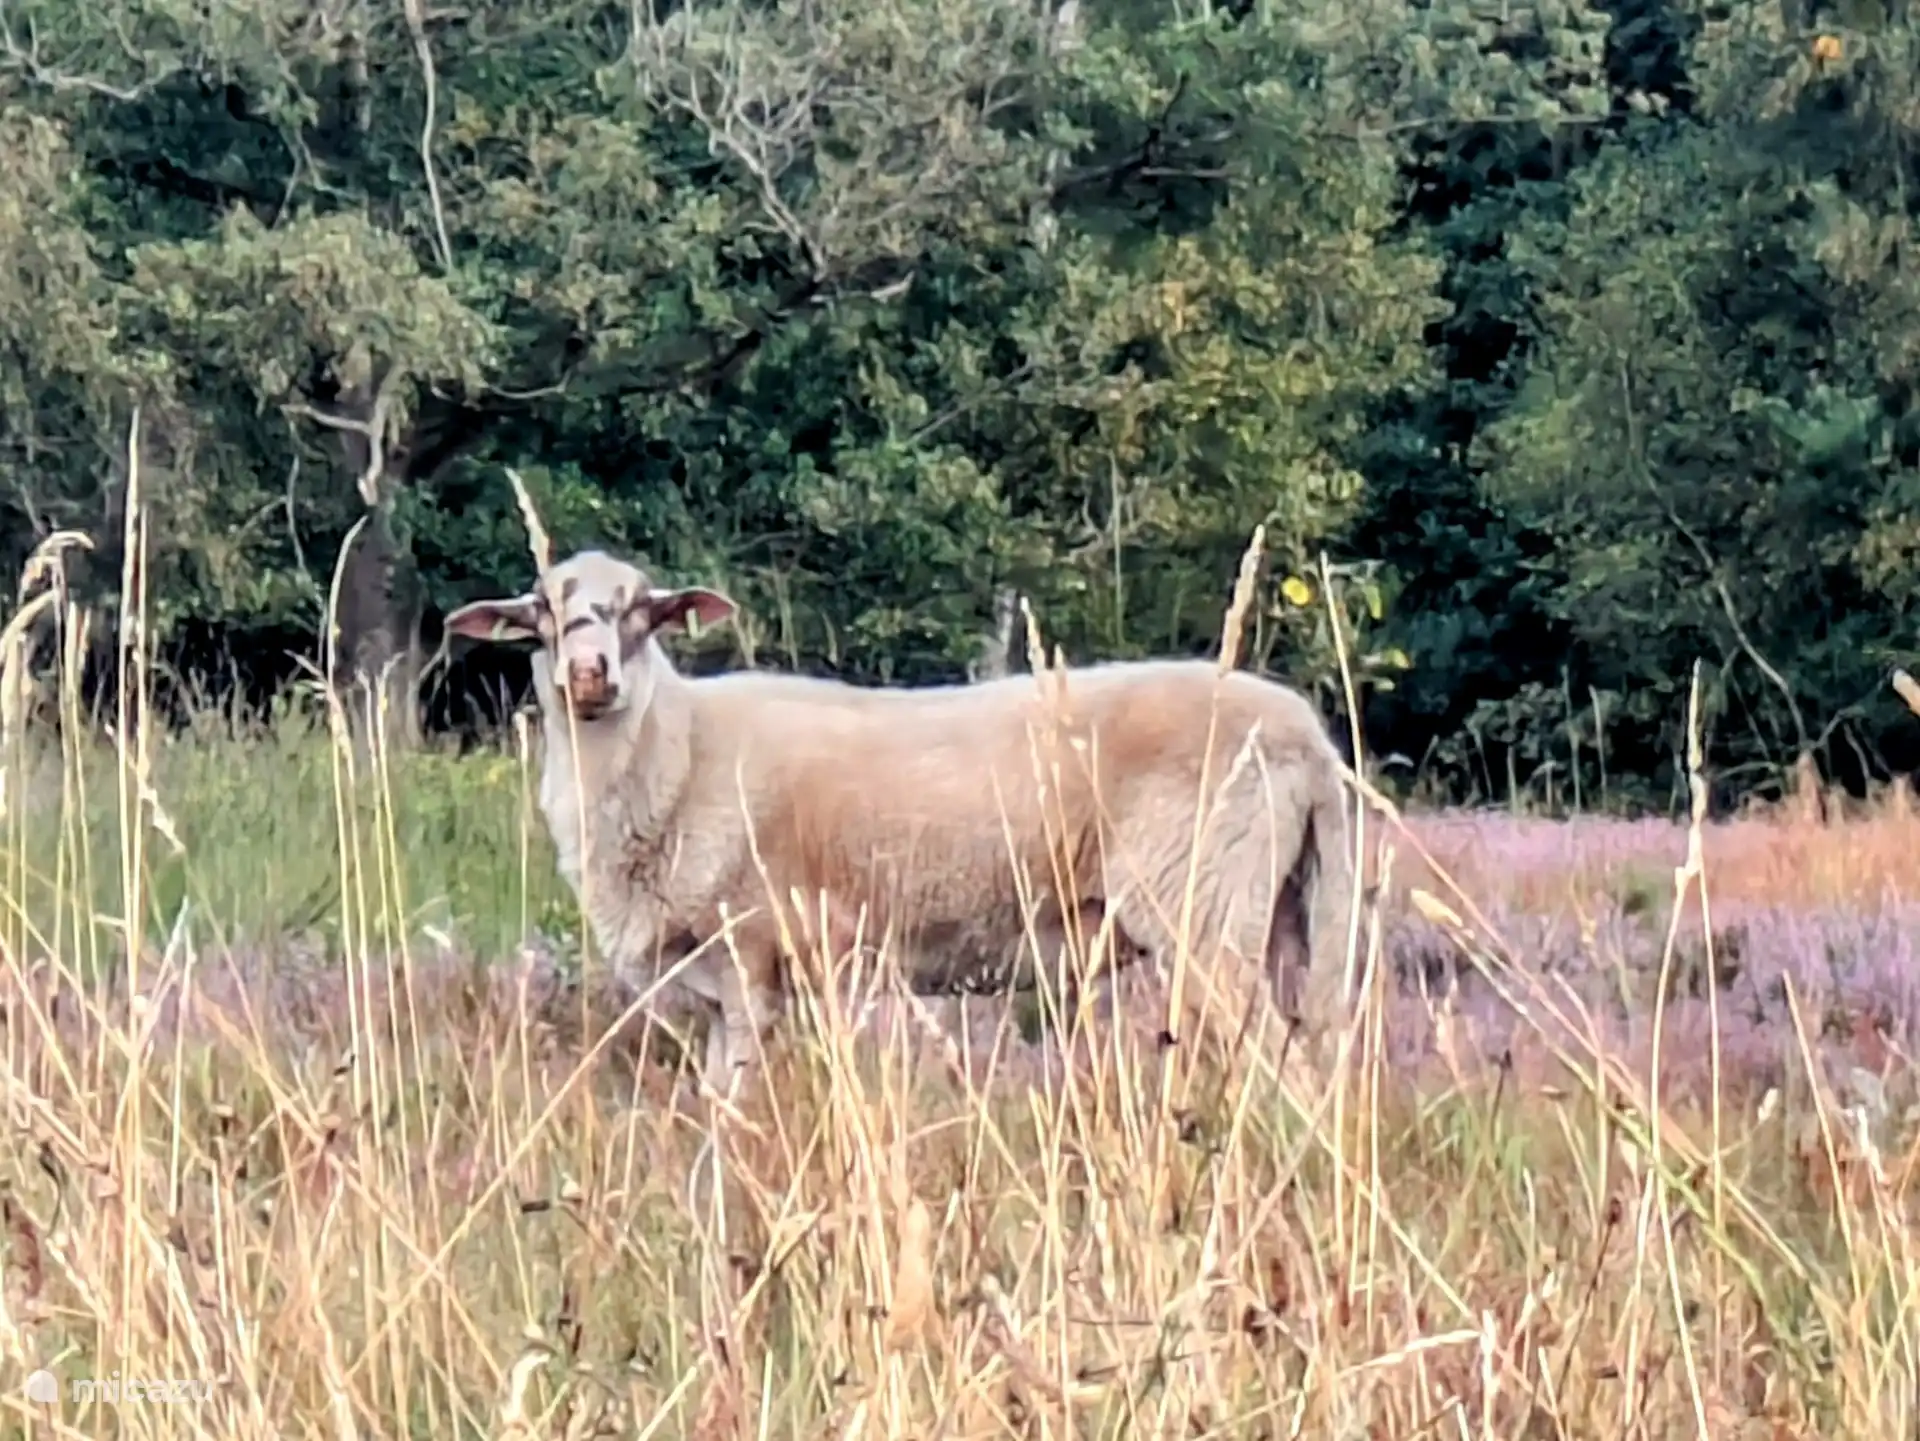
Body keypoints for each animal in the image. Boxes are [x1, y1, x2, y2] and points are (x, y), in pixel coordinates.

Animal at [444, 548, 1356, 1099]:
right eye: (540, 608)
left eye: (643, 610)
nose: (588, 673)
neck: (680, 750)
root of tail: (1310, 741)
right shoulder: (721, 985)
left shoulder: (752, 960)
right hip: (1279, 915)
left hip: (1205, 911)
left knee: (1284, 1066)